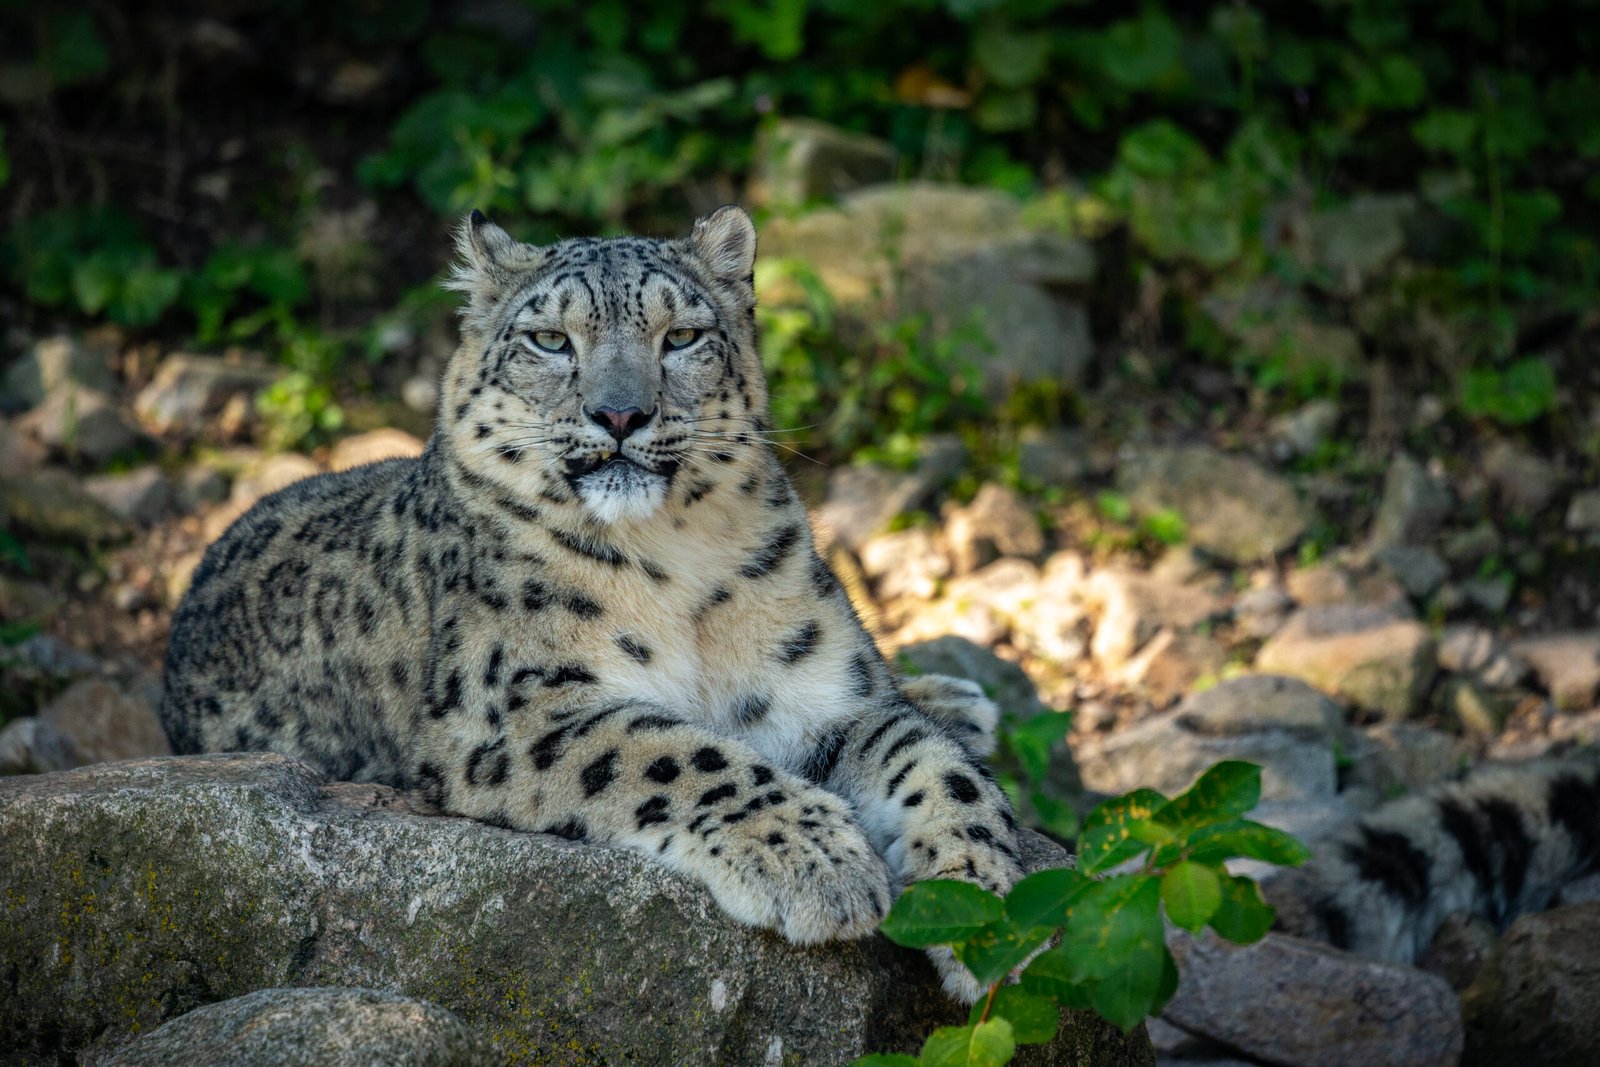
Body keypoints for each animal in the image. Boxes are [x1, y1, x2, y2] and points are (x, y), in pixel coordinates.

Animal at [159, 206, 1024, 1001]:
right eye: (549, 339)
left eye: (682, 336)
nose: (619, 414)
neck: (678, 560)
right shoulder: (514, 708)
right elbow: (677, 751)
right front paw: (821, 863)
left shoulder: (825, 692)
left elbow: (939, 768)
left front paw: (987, 915)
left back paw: (961, 700)